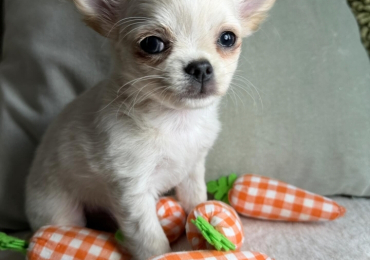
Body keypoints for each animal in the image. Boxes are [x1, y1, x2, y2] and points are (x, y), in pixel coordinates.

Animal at [26, 1, 274, 258]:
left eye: (227, 38)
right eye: (152, 44)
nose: (200, 67)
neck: (176, 121)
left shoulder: (193, 169)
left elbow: (195, 199)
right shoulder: (132, 192)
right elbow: (150, 238)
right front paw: (161, 254)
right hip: (58, 210)